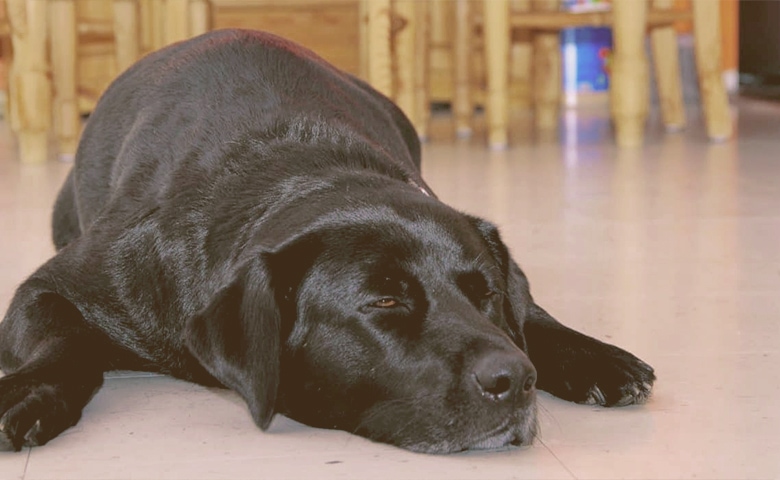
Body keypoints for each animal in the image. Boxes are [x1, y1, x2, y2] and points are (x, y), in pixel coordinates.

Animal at [0, 30, 652, 454]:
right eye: (384, 302)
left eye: (483, 294)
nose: (514, 380)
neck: (309, 170)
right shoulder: (63, 284)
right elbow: (68, 344)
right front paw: (30, 394)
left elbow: (526, 311)